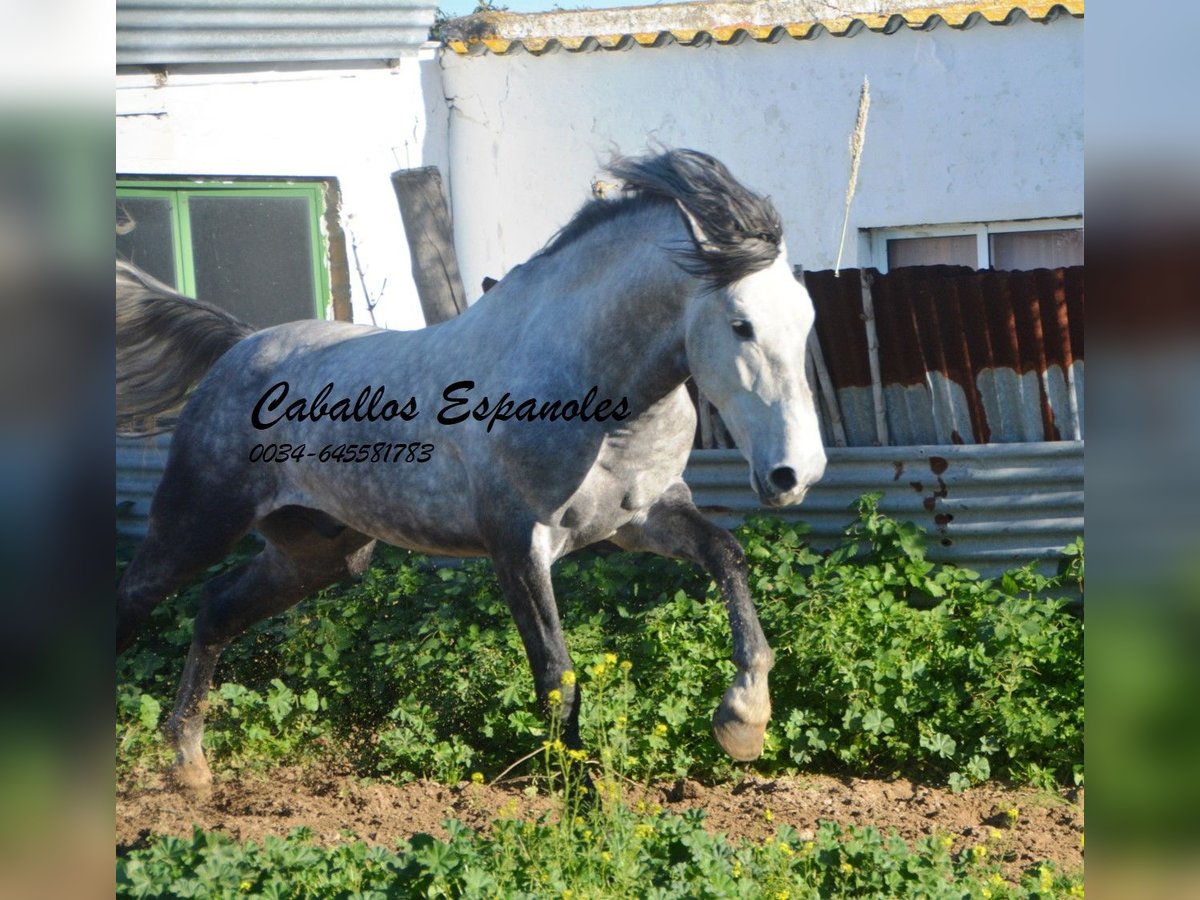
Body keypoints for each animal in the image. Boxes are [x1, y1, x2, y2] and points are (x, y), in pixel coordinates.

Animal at [117, 151, 830, 792]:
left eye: (807, 318)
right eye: (741, 324)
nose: (797, 474)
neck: (596, 395)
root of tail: (239, 346)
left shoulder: (642, 519)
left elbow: (726, 553)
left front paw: (743, 719)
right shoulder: (517, 543)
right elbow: (556, 676)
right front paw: (581, 801)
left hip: (318, 553)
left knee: (215, 609)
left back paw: (191, 766)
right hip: (197, 523)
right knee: (135, 599)